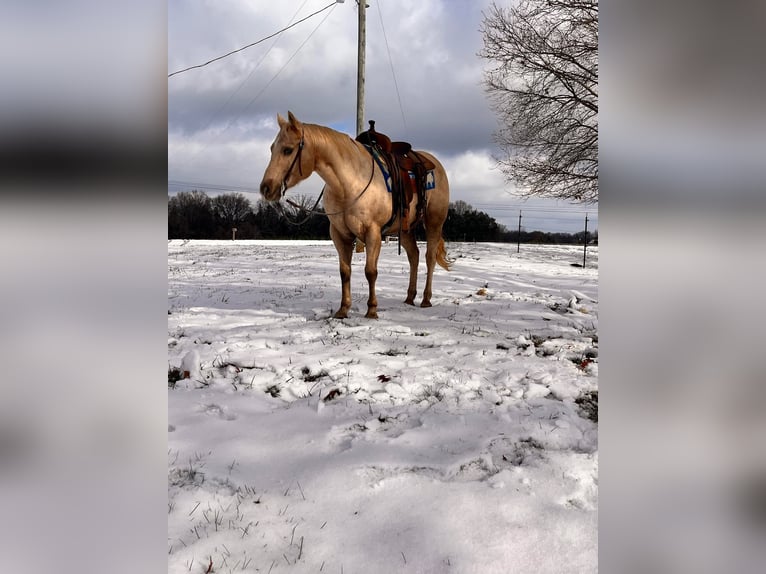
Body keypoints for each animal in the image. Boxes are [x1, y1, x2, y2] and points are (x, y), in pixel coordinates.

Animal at [260, 112, 450, 320]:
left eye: (288, 150)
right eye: (272, 149)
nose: (266, 188)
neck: (349, 182)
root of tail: (435, 163)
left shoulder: (373, 232)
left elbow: (371, 271)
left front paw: (372, 309)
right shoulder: (339, 234)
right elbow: (345, 271)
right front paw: (343, 309)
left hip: (434, 222)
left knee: (429, 257)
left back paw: (426, 299)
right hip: (405, 229)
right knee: (413, 256)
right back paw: (409, 297)